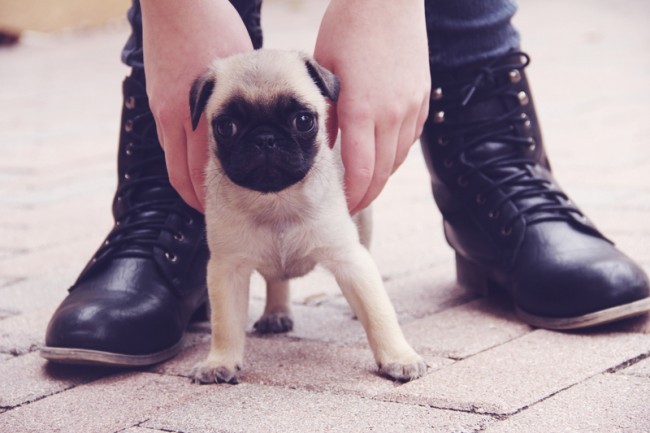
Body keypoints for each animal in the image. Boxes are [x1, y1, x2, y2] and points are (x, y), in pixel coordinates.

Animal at [186, 49, 426, 384]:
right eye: (226, 126)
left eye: (302, 121)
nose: (265, 138)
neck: (276, 203)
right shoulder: (227, 269)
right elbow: (225, 324)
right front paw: (219, 362)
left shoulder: (350, 260)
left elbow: (379, 313)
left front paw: (398, 357)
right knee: (276, 280)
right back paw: (275, 313)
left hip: (363, 225)